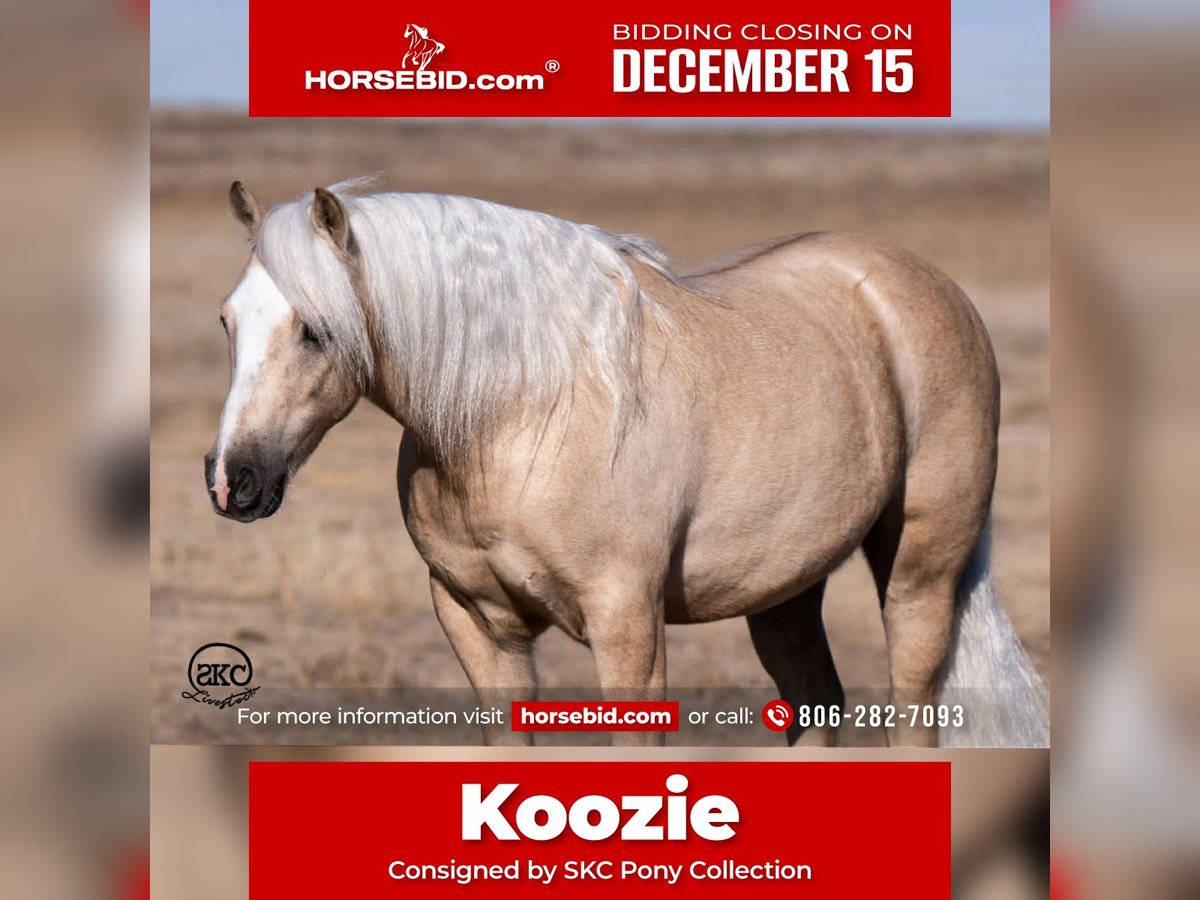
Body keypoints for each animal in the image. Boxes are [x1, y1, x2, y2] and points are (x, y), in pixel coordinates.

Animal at [205, 178, 1049, 748]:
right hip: (784, 590)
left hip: (920, 572)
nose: (231, 480)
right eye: (227, 320)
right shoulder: (479, 627)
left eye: (315, 330)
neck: (520, 415)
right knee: (817, 704)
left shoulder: (627, 626)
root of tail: (924, 286)